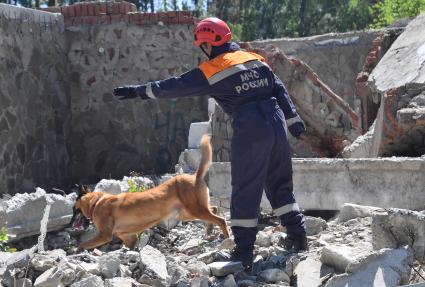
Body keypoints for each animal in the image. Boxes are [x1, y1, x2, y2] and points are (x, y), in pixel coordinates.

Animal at [72, 136, 229, 252]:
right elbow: (131, 246)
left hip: (194, 210)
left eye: (74, 210)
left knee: (221, 220)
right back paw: (209, 229)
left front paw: (78, 250)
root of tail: (195, 176)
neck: (96, 202)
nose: (70, 224)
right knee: (214, 209)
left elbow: (83, 244)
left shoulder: (104, 235)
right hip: (188, 213)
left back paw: (227, 239)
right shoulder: (129, 237)